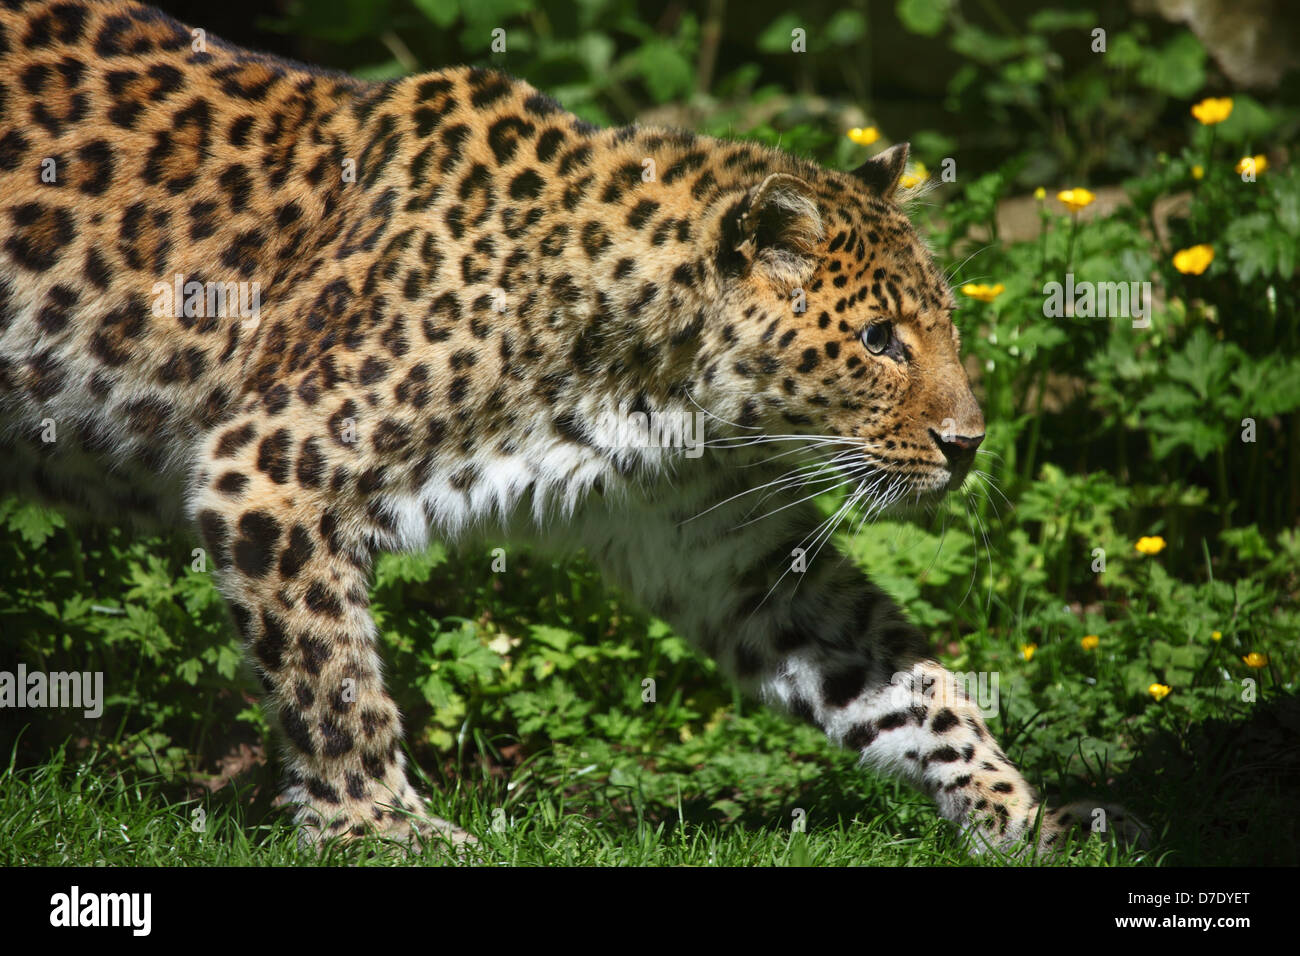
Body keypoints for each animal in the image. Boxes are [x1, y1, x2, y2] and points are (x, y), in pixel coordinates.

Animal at [0, 0, 1144, 853]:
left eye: (940, 324)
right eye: (877, 339)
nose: (969, 443)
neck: (664, 394)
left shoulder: (723, 553)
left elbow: (906, 678)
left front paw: (1021, 811)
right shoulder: (270, 468)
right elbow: (334, 674)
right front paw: (379, 826)